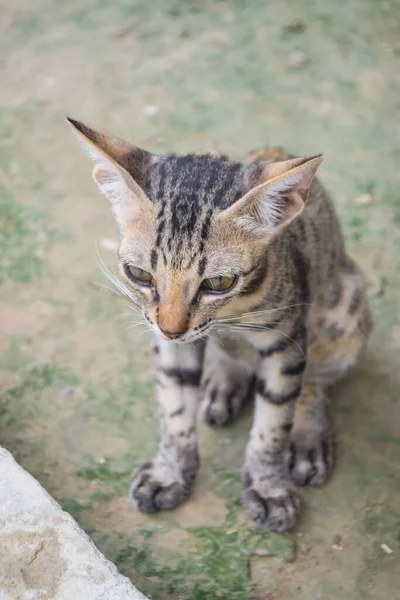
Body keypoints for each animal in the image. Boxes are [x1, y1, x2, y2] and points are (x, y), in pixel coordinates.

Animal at [68, 119, 372, 532]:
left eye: (218, 282)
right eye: (139, 274)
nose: (171, 328)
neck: (229, 316)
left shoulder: (287, 339)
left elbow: (274, 422)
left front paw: (267, 486)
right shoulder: (172, 342)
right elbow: (174, 405)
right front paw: (170, 471)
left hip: (344, 312)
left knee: (315, 382)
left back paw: (307, 435)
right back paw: (224, 382)